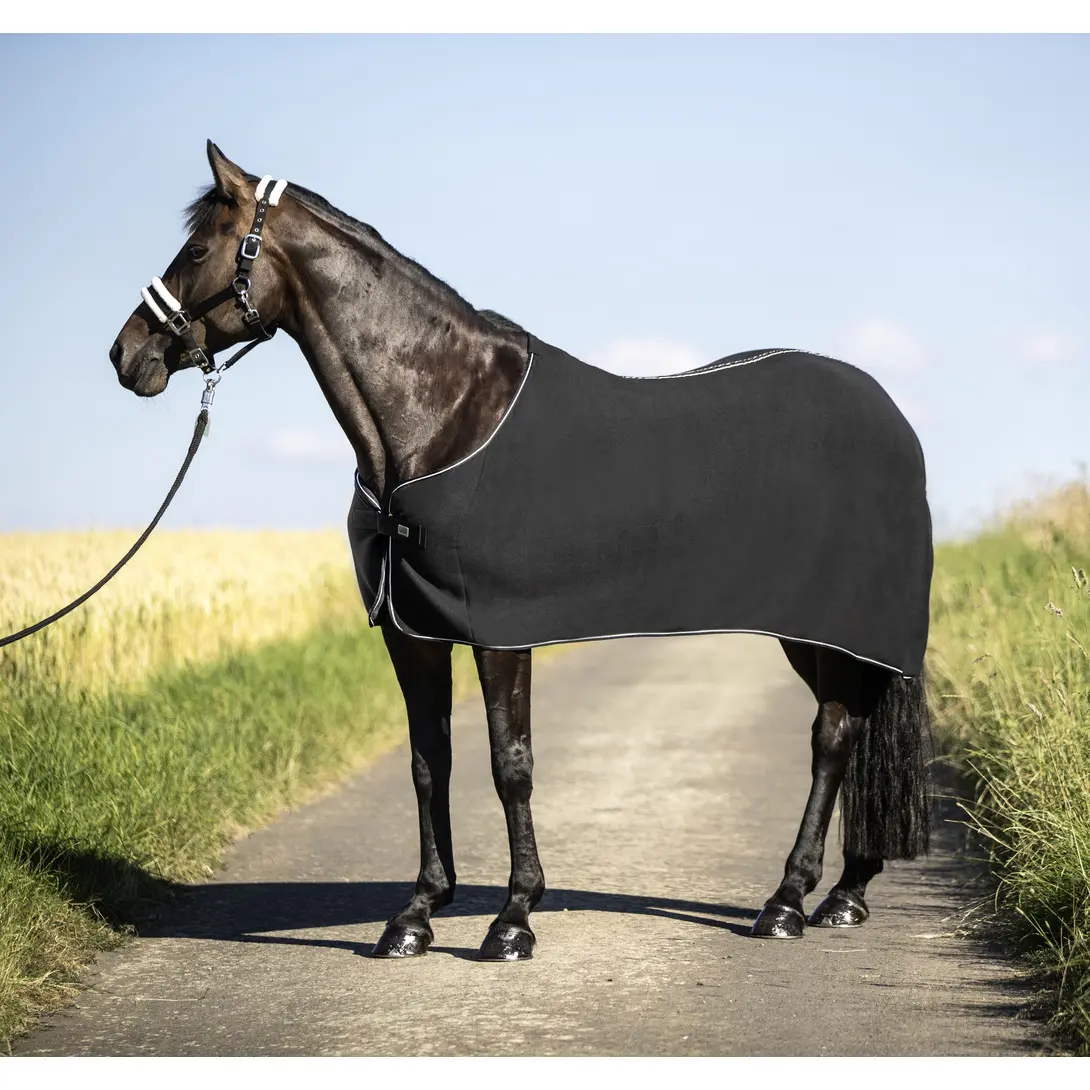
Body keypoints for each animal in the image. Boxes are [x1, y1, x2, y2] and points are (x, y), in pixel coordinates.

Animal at [108, 142, 932, 962]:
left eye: (197, 249)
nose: (125, 354)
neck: (442, 415)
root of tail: (889, 414)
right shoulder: (412, 632)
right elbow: (428, 762)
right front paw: (416, 914)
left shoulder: (500, 630)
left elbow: (511, 765)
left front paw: (512, 919)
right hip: (820, 631)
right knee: (851, 729)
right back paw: (844, 894)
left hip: (829, 624)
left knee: (831, 737)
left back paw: (788, 901)